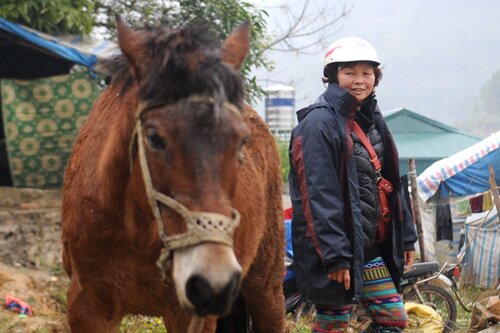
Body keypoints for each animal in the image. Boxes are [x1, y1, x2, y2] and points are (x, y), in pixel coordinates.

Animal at [60, 18, 284, 332]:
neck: (137, 229)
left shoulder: (189, 315)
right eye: (154, 138)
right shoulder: (87, 306)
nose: (213, 280)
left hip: (266, 284)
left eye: (242, 142)